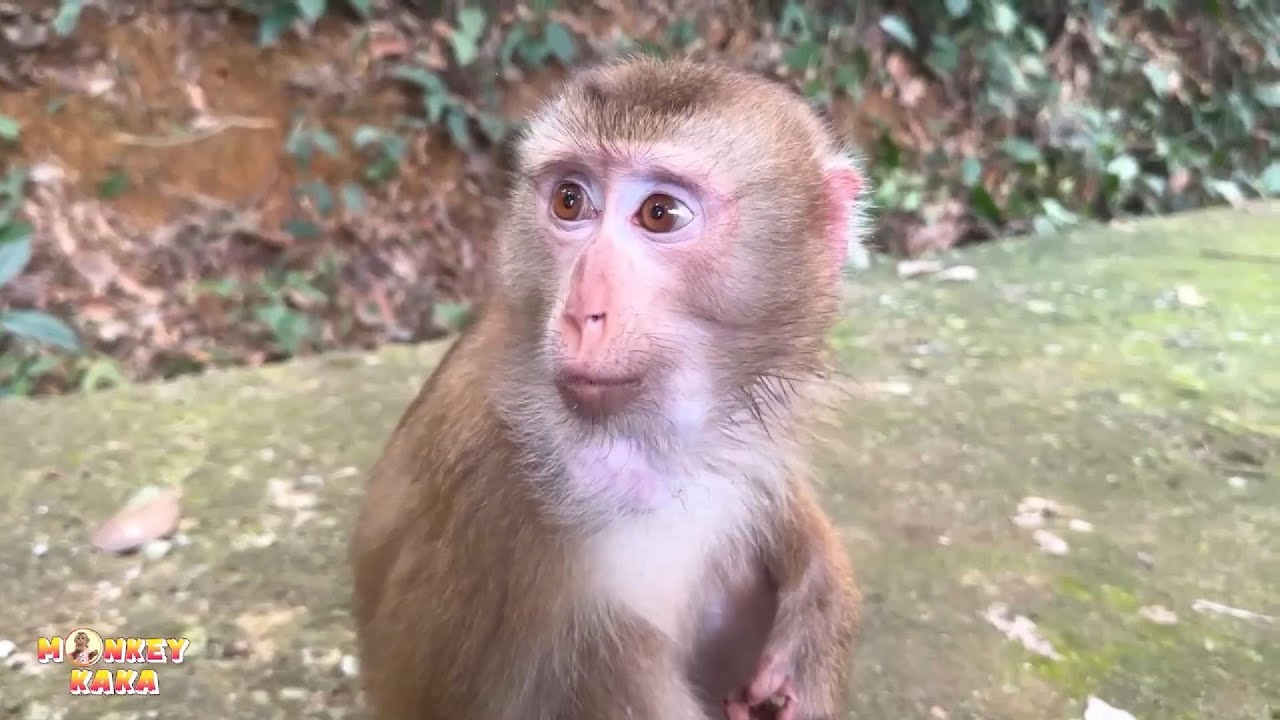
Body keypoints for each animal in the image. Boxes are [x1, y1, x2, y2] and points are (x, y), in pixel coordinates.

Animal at [350, 56, 866, 720]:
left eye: (660, 213)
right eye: (570, 201)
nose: (581, 312)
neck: (640, 449)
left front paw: (818, 607)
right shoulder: (499, 512)